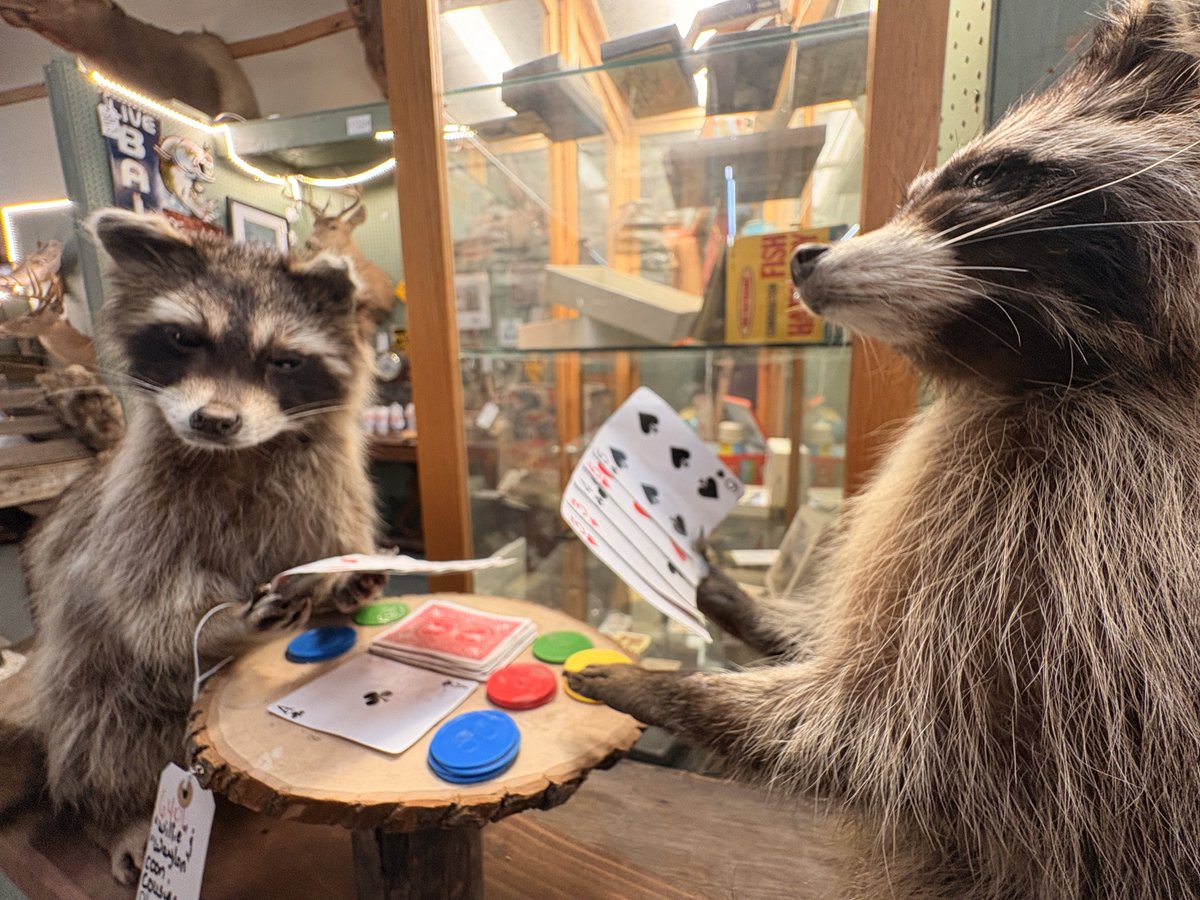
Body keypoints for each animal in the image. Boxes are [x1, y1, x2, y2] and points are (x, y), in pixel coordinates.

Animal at [1, 211, 383, 884]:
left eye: (282, 360)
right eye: (184, 338)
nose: (214, 421)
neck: (243, 452)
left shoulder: (327, 487)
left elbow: (332, 546)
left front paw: (341, 581)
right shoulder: (137, 508)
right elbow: (151, 614)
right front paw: (224, 623)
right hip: (87, 685)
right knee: (102, 719)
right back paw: (120, 811)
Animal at [569, 1, 1200, 896]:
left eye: (984, 178)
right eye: (908, 196)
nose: (805, 255)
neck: (1048, 374)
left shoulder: (1107, 544)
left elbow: (898, 732)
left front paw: (685, 692)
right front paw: (759, 611)